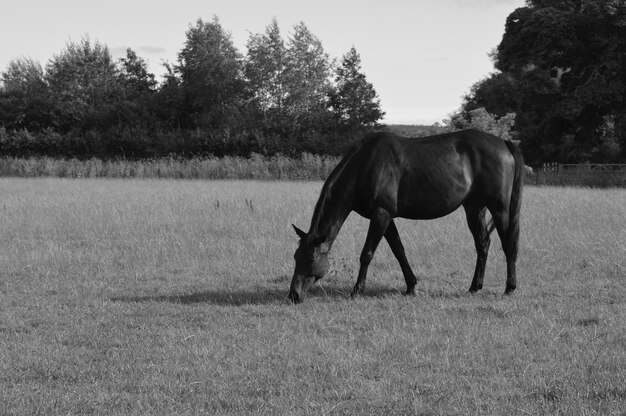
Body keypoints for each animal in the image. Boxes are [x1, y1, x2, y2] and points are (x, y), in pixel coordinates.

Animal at [288, 128, 520, 304]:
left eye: (310, 259)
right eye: (295, 257)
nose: (293, 295)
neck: (365, 165)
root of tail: (503, 143)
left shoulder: (381, 215)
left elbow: (367, 254)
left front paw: (357, 290)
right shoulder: (386, 217)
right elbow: (399, 251)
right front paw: (411, 286)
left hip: (499, 208)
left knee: (508, 244)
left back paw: (509, 288)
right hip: (474, 208)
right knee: (483, 244)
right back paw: (474, 287)